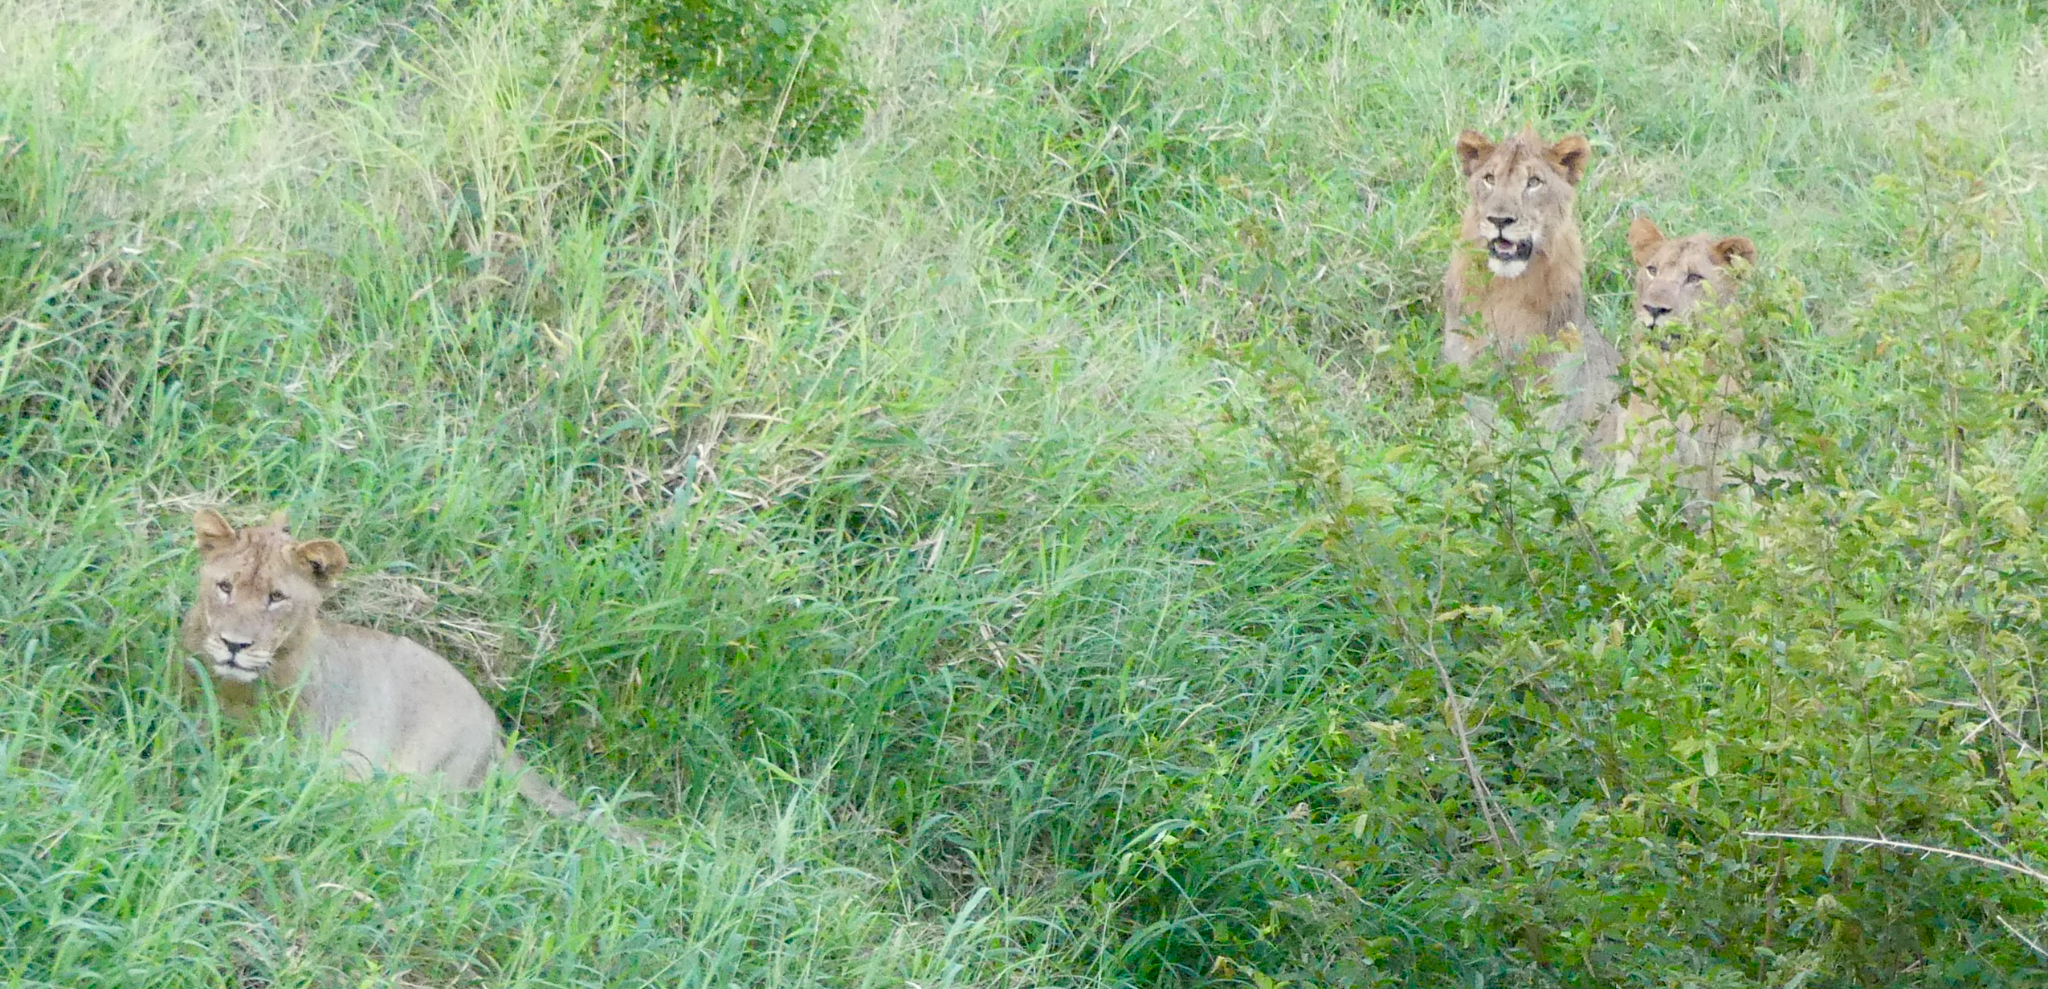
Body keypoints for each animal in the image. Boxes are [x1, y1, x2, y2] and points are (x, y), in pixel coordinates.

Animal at [1443, 126, 1622, 452]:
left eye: (1534, 182)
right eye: (1489, 178)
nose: (1499, 219)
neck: (1507, 289)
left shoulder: (1556, 385)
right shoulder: (1468, 375)